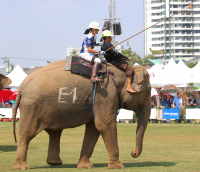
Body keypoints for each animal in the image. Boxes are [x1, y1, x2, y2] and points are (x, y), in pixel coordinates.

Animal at [12, 59, 150, 170]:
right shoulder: (105, 95)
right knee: (26, 134)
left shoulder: (98, 100)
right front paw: (118, 166)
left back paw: (55, 163)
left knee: (55, 132)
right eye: (148, 91)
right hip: (32, 107)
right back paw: (22, 167)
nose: (133, 153)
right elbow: (104, 124)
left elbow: (93, 129)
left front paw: (85, 166)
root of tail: (22, 85)